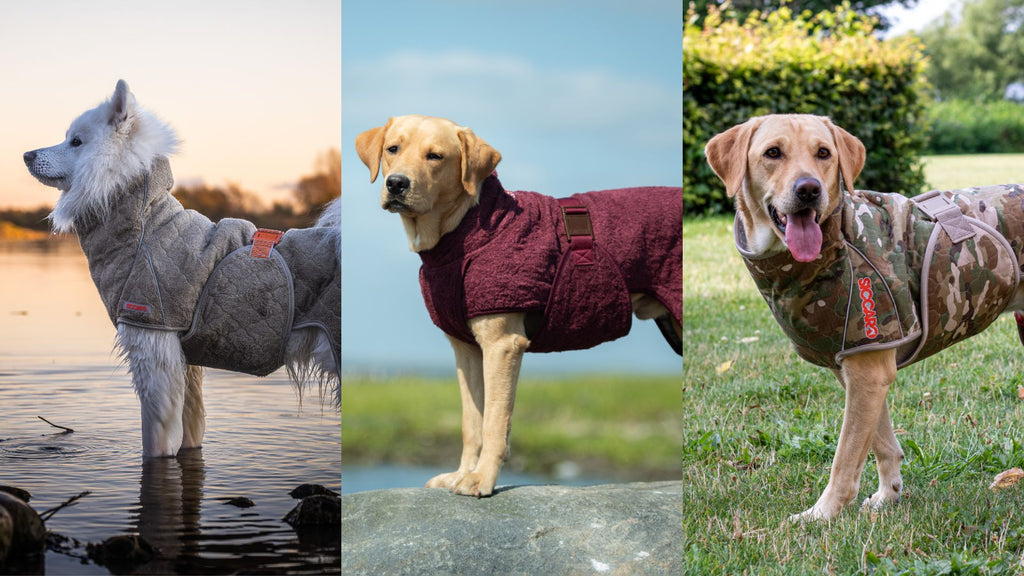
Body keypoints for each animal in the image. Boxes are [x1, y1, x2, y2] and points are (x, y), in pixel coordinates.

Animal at [23, 81, 339, 457]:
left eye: (75, 141)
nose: (26, 155)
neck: (146, 223)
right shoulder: (184, 360)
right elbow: (191, 427)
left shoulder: (152, 342)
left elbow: (156, 437)